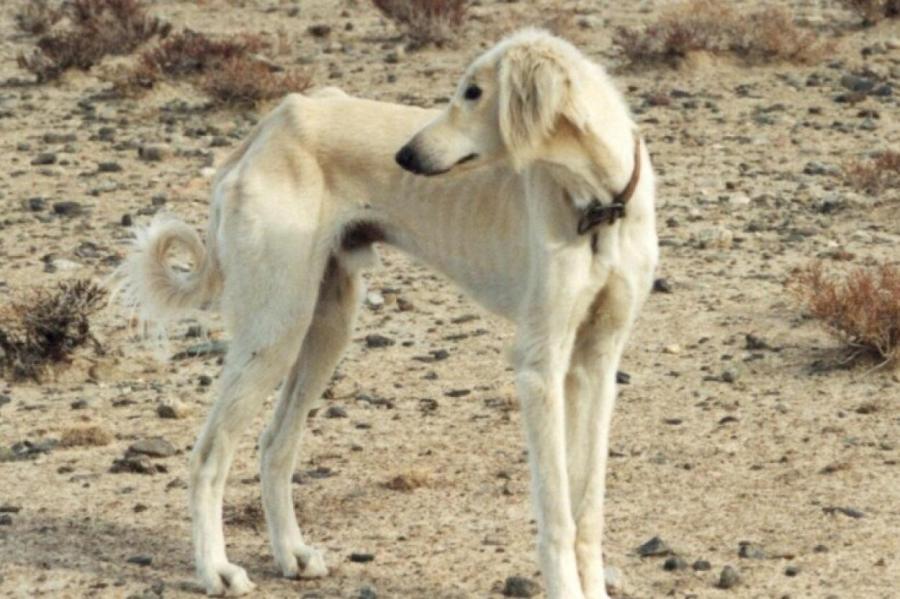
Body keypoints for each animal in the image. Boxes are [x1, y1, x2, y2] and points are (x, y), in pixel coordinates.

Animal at [116, 29, 656, 599]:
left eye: (473, 92)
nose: (405, 156)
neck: (599, 202)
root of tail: (272, 124)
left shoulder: (597, 360)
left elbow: (586, 504)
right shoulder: (540, 366)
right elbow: (556, 511)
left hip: (327, 326)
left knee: (275, 443)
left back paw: (291, 554)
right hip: (275, 329)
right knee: (208, 456)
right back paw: (215, 569)